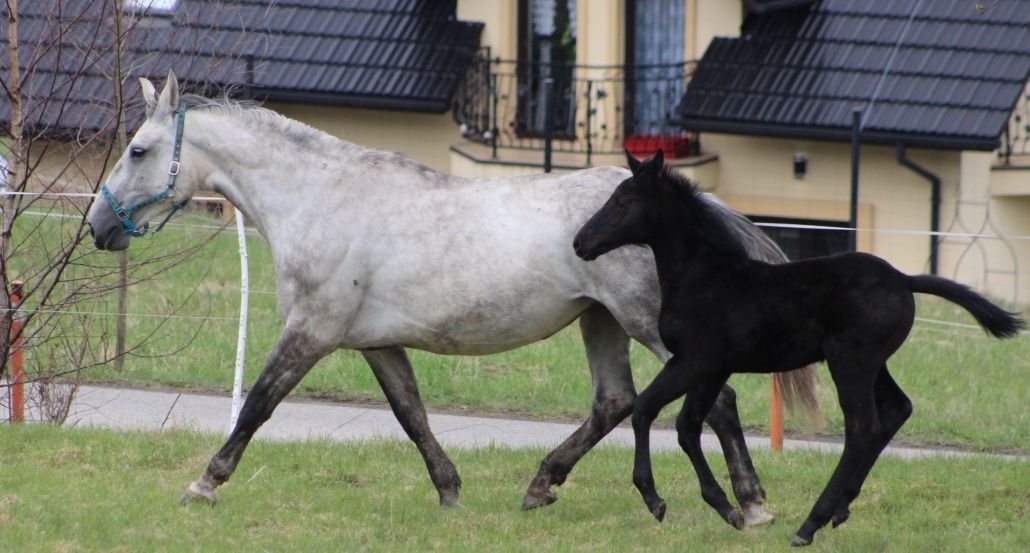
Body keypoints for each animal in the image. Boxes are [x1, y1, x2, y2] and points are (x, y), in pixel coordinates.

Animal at [88, 71, 815, 523]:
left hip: (650, 326)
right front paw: (451, 492)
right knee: (614, 401)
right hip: (602, 322)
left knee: (717, 401)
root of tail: (692, 209)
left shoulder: (313, 330)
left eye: (138, 148)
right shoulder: (375, 342)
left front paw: (204, 483)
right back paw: (541, 485)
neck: (321, 198)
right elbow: (412, 415)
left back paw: (751, 504)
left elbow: (258, 405)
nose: (97, 228)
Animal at [572, 148, 1021, 543]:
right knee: (897, 409)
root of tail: (904, 280)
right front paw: (728, 508)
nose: (580, 243)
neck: (704, 276)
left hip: (850, 362)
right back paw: (841, 508)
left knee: (863, 427)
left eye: (623, 201)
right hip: (874, 363)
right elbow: (687, 426)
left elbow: (647, 408)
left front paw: (655, 499)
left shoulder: (693, 361)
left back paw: (811, 524)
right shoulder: (715, 368)